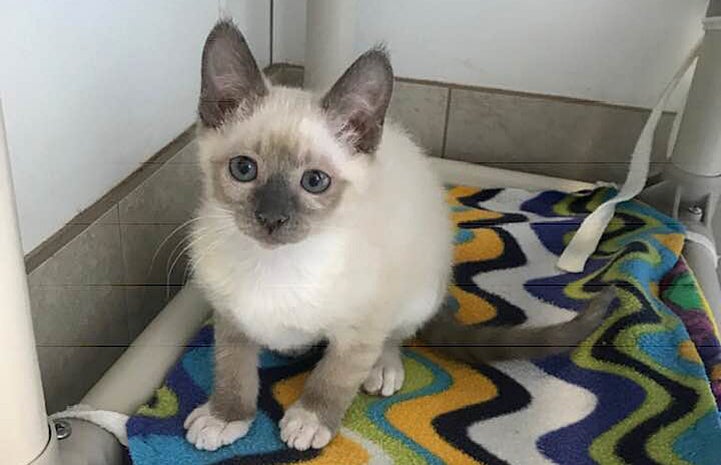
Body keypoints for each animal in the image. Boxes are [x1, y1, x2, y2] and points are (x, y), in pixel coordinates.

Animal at [183, 20, 612, 452]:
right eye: (243, 169)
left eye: (314, 181)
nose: (272, 218)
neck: (275, 265)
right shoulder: (230, 314)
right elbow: (233, 369)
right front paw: (225, 416)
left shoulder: (362, 326)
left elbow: (334, 377)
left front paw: (311, 419)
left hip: (417, 287)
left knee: (398, 334)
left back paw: (382, 368)